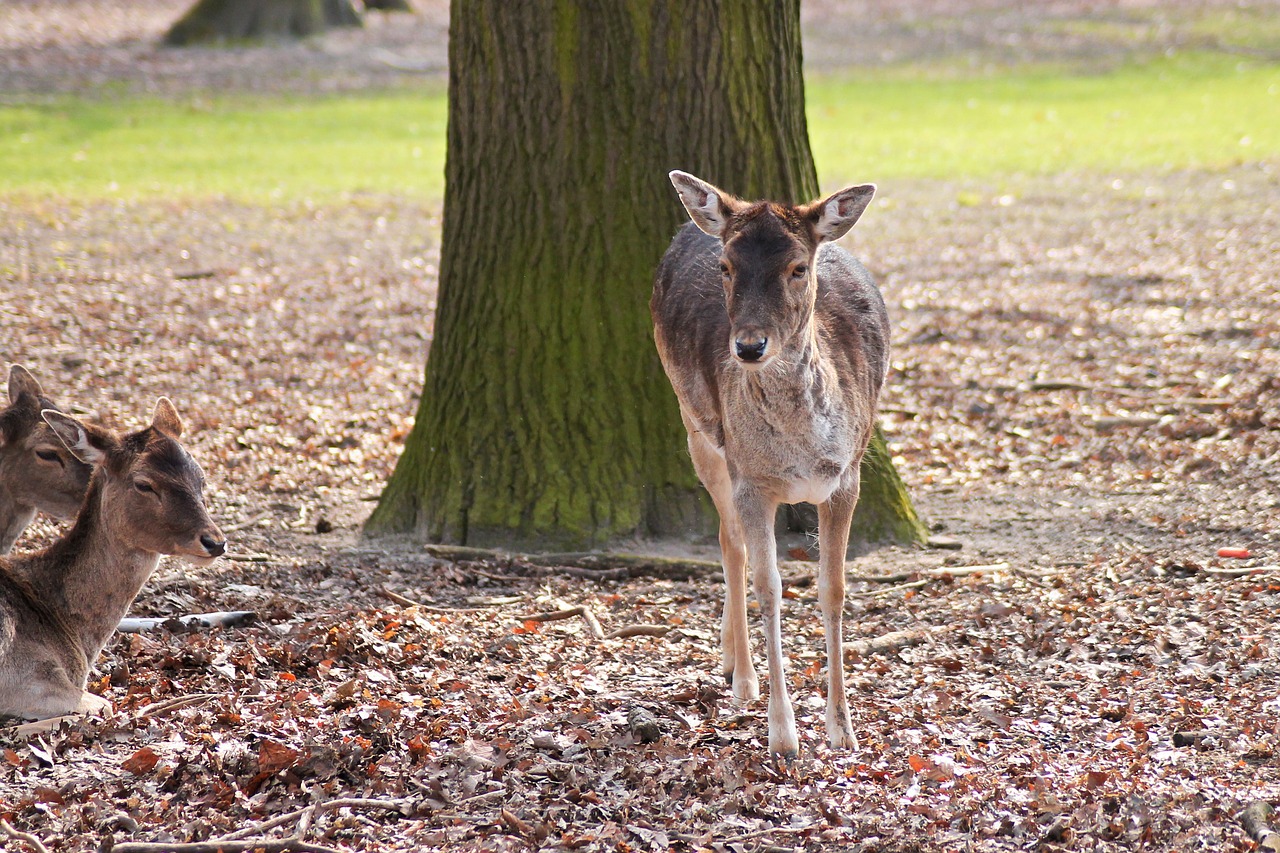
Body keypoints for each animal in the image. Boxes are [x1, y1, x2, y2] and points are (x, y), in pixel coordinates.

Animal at [650, 169, 890, 753]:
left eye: (798, 267)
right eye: (726, 267)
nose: (749, 347)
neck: (799, 453)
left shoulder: (847, 477)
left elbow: (833, 588)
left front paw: (842, 728)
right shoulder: (751, 481)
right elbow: (770, 586)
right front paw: (783, 734)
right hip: (696, 427)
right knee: (728, 540)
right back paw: (741, 676)